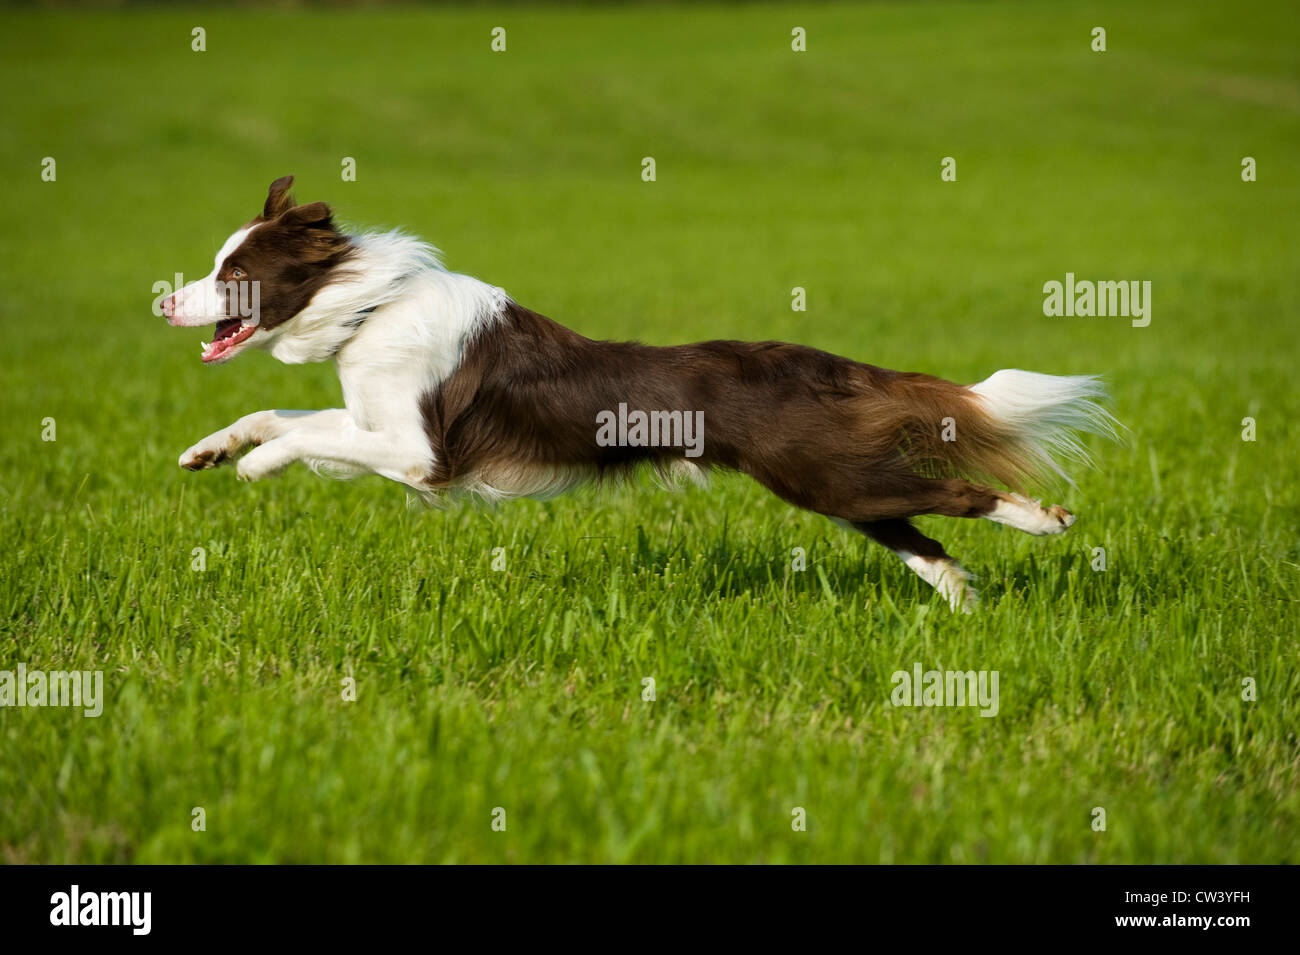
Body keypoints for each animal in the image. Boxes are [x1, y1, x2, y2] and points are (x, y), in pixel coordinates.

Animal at [162, 178, 1118, 613]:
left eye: (233, 274)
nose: (164, 302)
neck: (365, 305)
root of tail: (819, 361)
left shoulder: (420, 453)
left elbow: (302, 437)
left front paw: (256, 470)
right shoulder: (375, 425)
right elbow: (281, 416)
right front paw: (211, 447)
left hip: (822, 472)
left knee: (956, 493)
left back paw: (1043, 521)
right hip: (837, 482)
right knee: (919, 532)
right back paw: (962, 597)